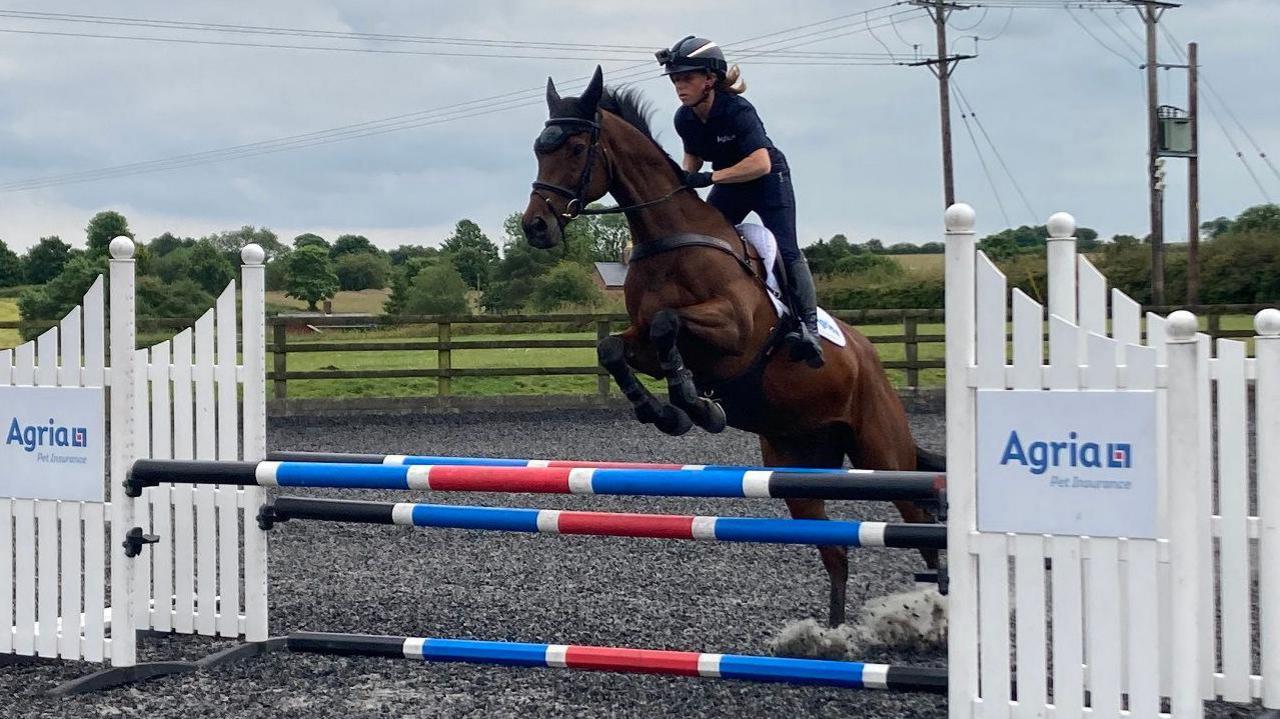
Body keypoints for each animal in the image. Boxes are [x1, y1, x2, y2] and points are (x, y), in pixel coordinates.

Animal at [517, 67, 942, 626]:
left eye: (576, 145)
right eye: (538, 148)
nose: (535, 226)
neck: (669, 241)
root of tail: (869, 358)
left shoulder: (733, 331)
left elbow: (668, 325)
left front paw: (695, 404)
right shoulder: (641, 341)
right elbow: (613, 349)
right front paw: (665, 412)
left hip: (883, 452)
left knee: (924, 532)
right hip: (798, 462)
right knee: (836, 551)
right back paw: (831, 636)